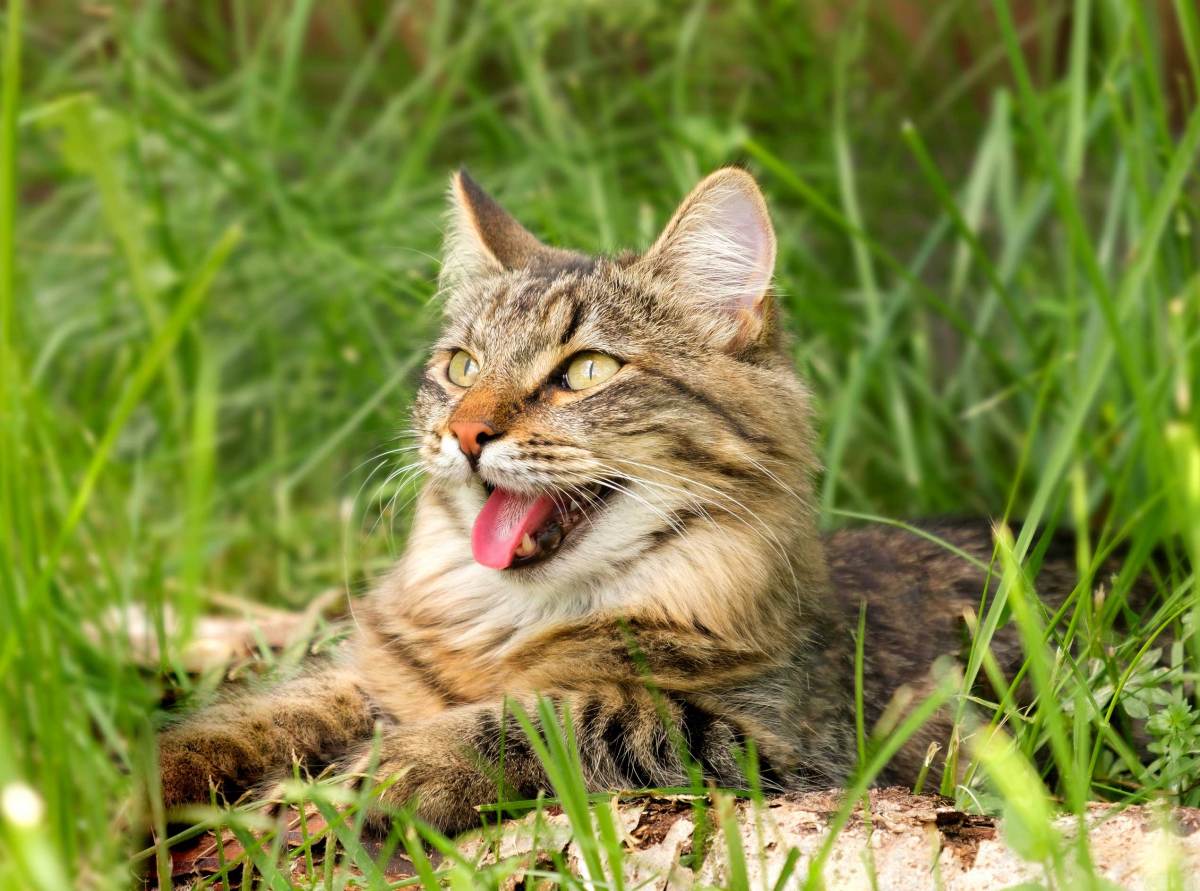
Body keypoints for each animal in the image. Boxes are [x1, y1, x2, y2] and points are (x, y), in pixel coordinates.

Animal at [152, 168, 1080, 835]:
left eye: (585, 371)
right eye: (460, 366)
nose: (463, 432)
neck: (510, 622)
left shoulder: (784, 744)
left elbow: (569, 713)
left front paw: (385, 775)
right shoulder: (364, 674)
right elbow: (244, 718)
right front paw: (137, 788)